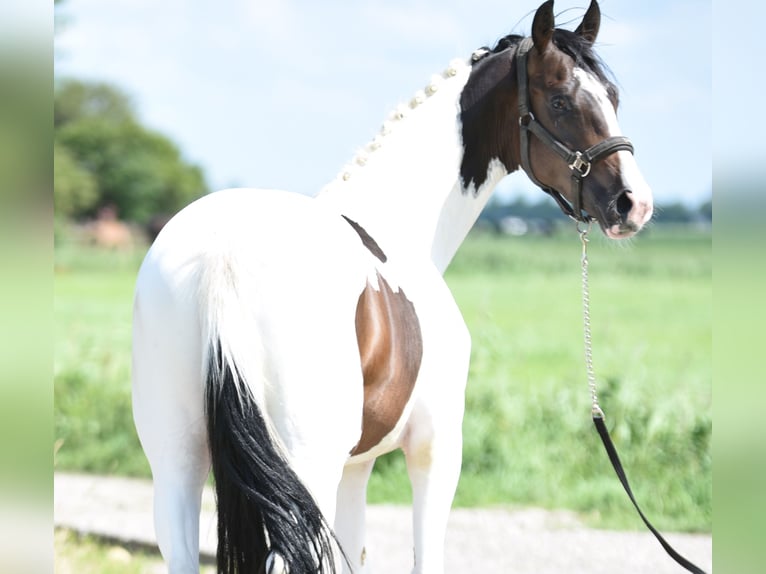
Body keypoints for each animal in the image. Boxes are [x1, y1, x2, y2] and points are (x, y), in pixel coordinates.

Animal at [132, 2, 656, 572]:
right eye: (560, 99)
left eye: (613, 97)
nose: (633, 204)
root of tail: (225, 256)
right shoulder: (435, 446)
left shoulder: (356, 465)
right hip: (304, 468)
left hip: (176, 465)